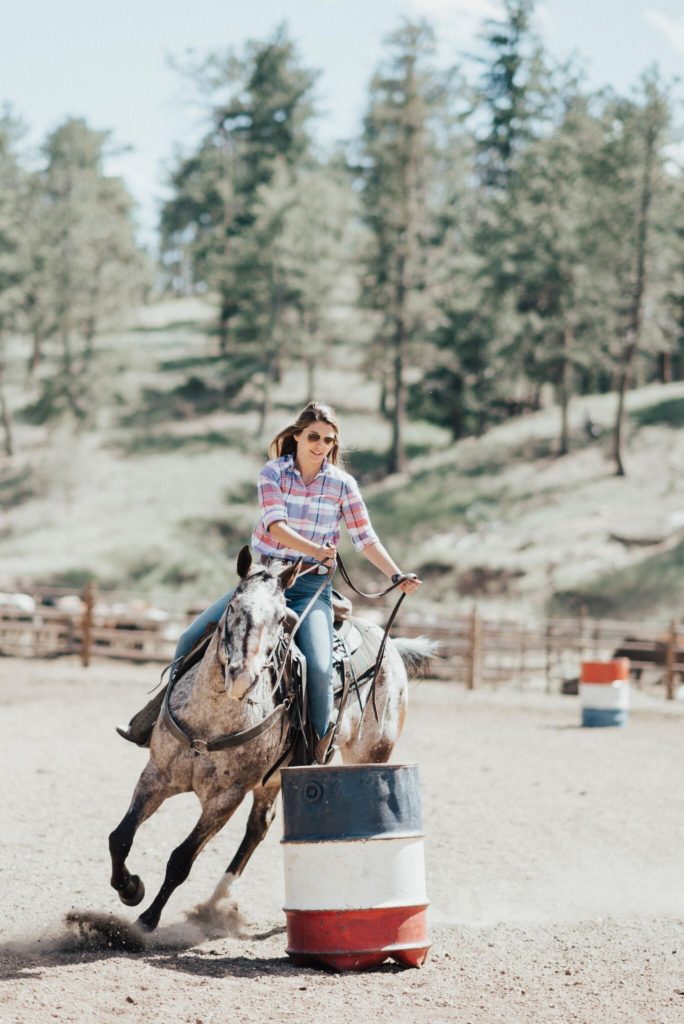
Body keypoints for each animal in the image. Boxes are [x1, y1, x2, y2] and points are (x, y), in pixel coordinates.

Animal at [109, 548, 436, 933]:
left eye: (282, 619)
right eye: (233, 606)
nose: (241, 677)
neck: (209, 722)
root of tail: (392, 646)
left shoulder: (225, 798)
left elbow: (181, 859)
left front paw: (146, 920)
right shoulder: (157, 775)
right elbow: (120, 837)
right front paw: (130, 888)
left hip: (371, 754)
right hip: (272, 779)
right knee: (259, 826)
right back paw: (217, 900)